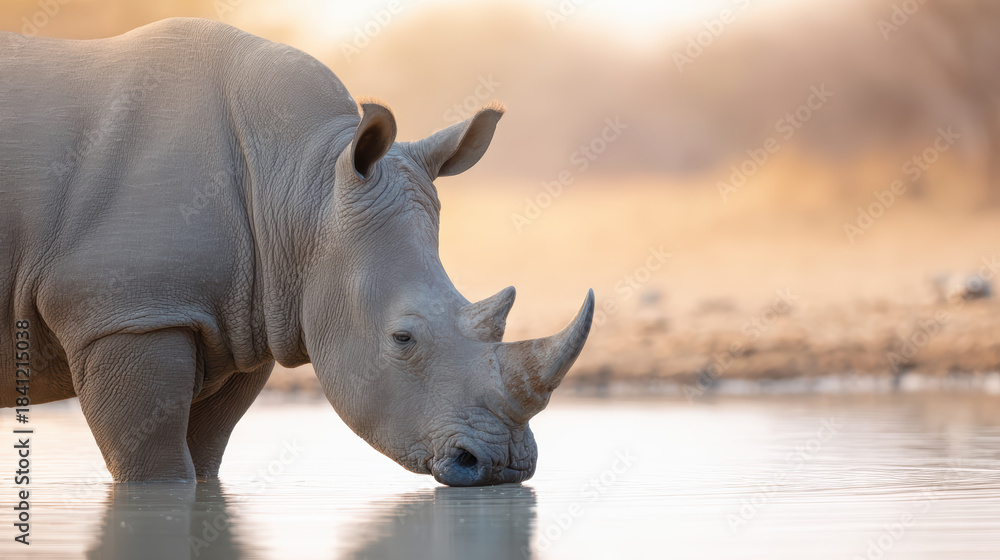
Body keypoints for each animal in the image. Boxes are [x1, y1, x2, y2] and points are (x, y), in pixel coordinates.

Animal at [0, 18, 593, 486]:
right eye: (402, 338)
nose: (502, 466)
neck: (302, 183)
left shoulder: (241, 321)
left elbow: (204, 455)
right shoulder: (127, 314)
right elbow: (157, 467)